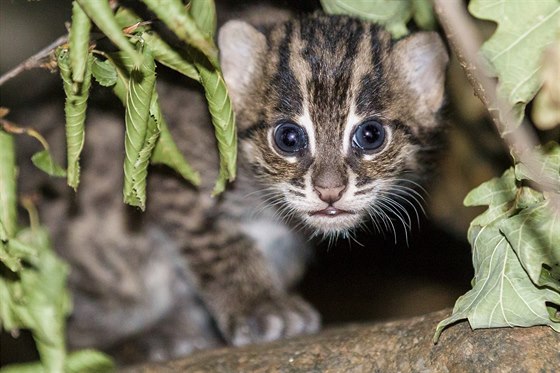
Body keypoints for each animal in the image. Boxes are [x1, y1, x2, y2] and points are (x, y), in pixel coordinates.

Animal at [31, 10, 450, 360]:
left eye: (371, 135)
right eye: (288, 138)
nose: (329, 190)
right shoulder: (173, 179)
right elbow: (219, 244)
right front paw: (258, 306)